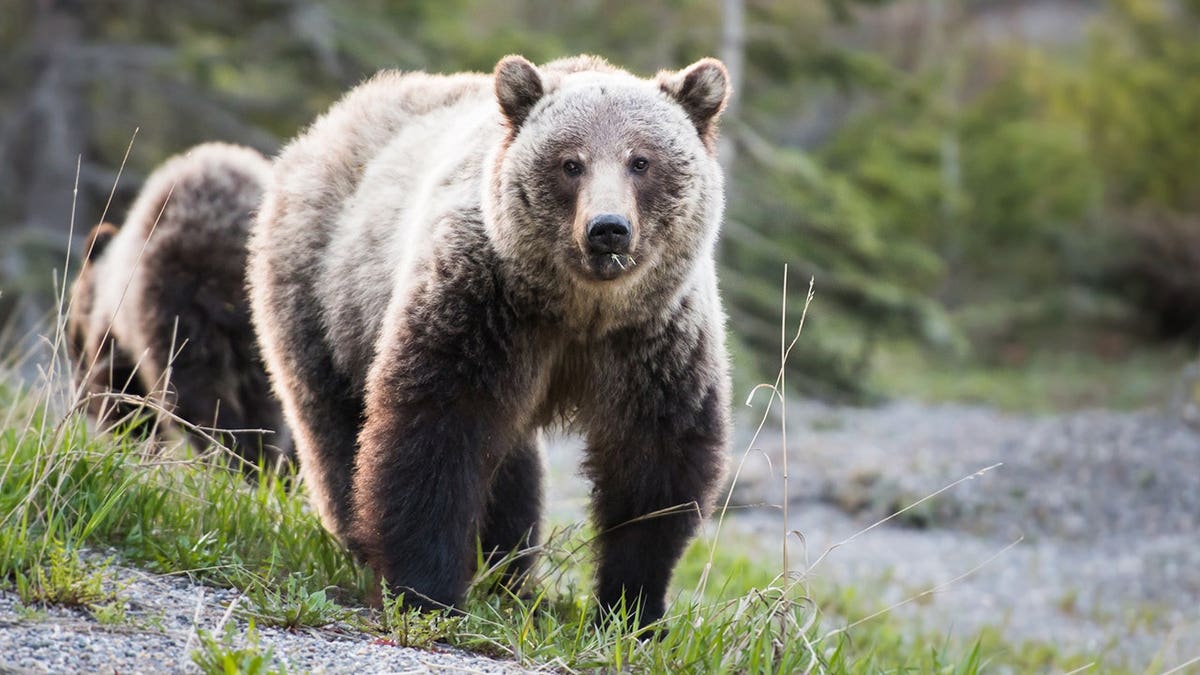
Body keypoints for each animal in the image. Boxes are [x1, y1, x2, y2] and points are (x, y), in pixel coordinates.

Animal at [68, 142, 292, 478]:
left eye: (72, 337)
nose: (81, 400)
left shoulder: (122, 336)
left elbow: (123, 393)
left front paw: (130, 441)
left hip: (180, 304)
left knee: (197, 396)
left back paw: (230, 462)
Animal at [248, 55, 731, 626]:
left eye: (641, 161)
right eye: (571, 163)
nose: (608, 228)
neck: (579, 310)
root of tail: (329, 121)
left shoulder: (654, 339)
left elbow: (655, 463)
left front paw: (632, 610)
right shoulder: (482, 303)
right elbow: (437, 428)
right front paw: (426, 590)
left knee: (512, 467)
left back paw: (509, 573)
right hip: (320, 287)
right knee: (333, 424)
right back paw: (366, 544)